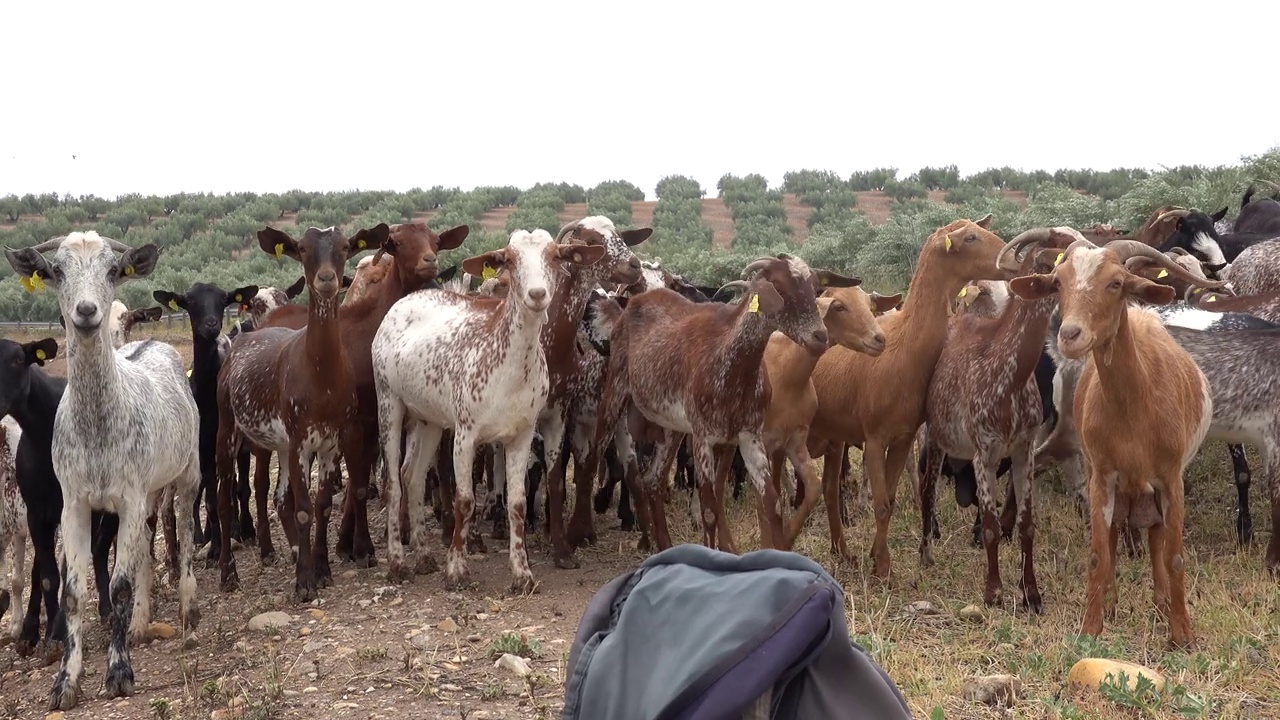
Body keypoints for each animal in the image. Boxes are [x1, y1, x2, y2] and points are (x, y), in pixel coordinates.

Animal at [5, 229, 200, 707]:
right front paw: (65, 681)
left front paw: (119, 673)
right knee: (147, 538)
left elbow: (119, 586)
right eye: (57, 270)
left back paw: (188, 616)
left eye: (113, 269)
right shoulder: (74, 501)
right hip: (149, 487)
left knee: (186, 531)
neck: (97, 426)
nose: (87, 311)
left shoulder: (126, 497)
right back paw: (143, 621)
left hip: (187, 470)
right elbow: (73, 591)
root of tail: (155, 345)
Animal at [588, 251, 860, 548]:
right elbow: (709, 510)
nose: (819, 336)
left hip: (672, 427)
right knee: (595, 456)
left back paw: (664, 546)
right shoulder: (703, 437)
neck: (729, 362)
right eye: (778, 285)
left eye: (814, 286)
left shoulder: (749, 435)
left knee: (652, 481)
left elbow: (772, 503)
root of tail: (633, 304)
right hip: (615, 393)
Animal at [803, 210, 1013, 573]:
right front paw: (884, 568)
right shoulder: (874, 439)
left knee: (829, 489)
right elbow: (881, 504)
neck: (903, 346)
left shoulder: (902, 437)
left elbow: (889, 498)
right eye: (970, 238)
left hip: (834, 437)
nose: (1014, 255)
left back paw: (841, 550)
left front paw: (877, 557)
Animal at [1003, 235, 1223, 645]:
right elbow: (1098, 554)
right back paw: (1115, 602)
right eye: (1058, 282)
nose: (1069, 335)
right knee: (1117, 534)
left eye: (1116, 283)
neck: (1135, 413)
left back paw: (1161, 604)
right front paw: (1092, 626)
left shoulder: (1171, 478)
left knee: (1154, 539)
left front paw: (1182, 633)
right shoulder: (1103, 476)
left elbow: (1174, 556)